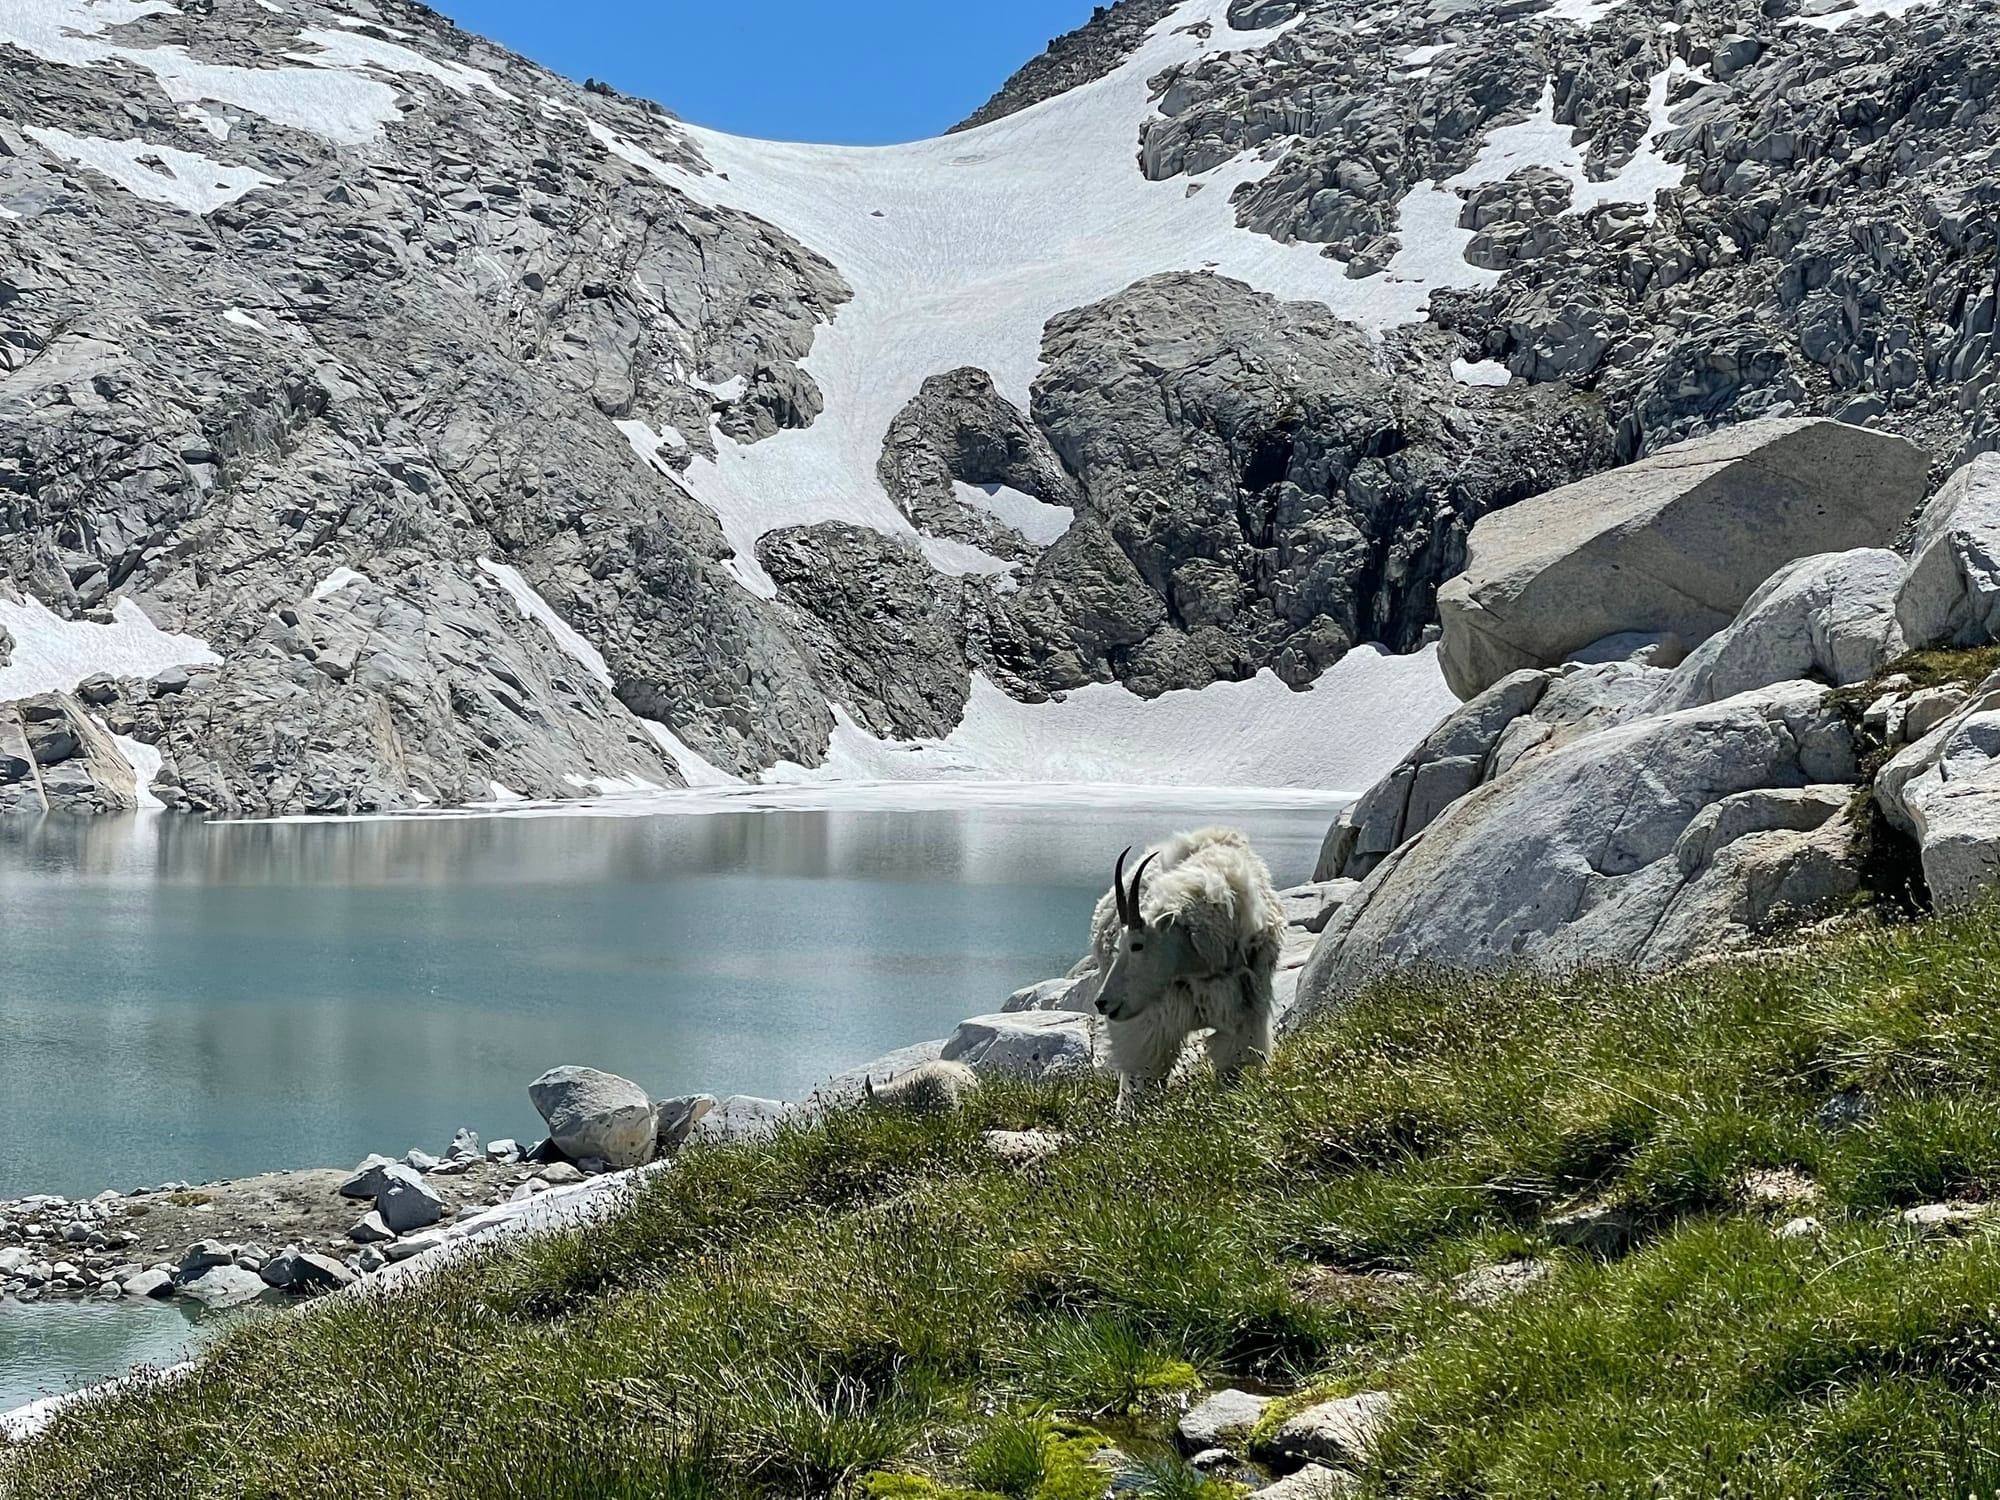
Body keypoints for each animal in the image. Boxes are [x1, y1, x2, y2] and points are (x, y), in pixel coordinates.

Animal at [1096, 836, 1280, 1120]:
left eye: (1137, 945)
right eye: (1120, 945)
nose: (1102, 1002)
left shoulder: (1248, 1010)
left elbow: (1234, 1062)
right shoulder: (1158, 1019)